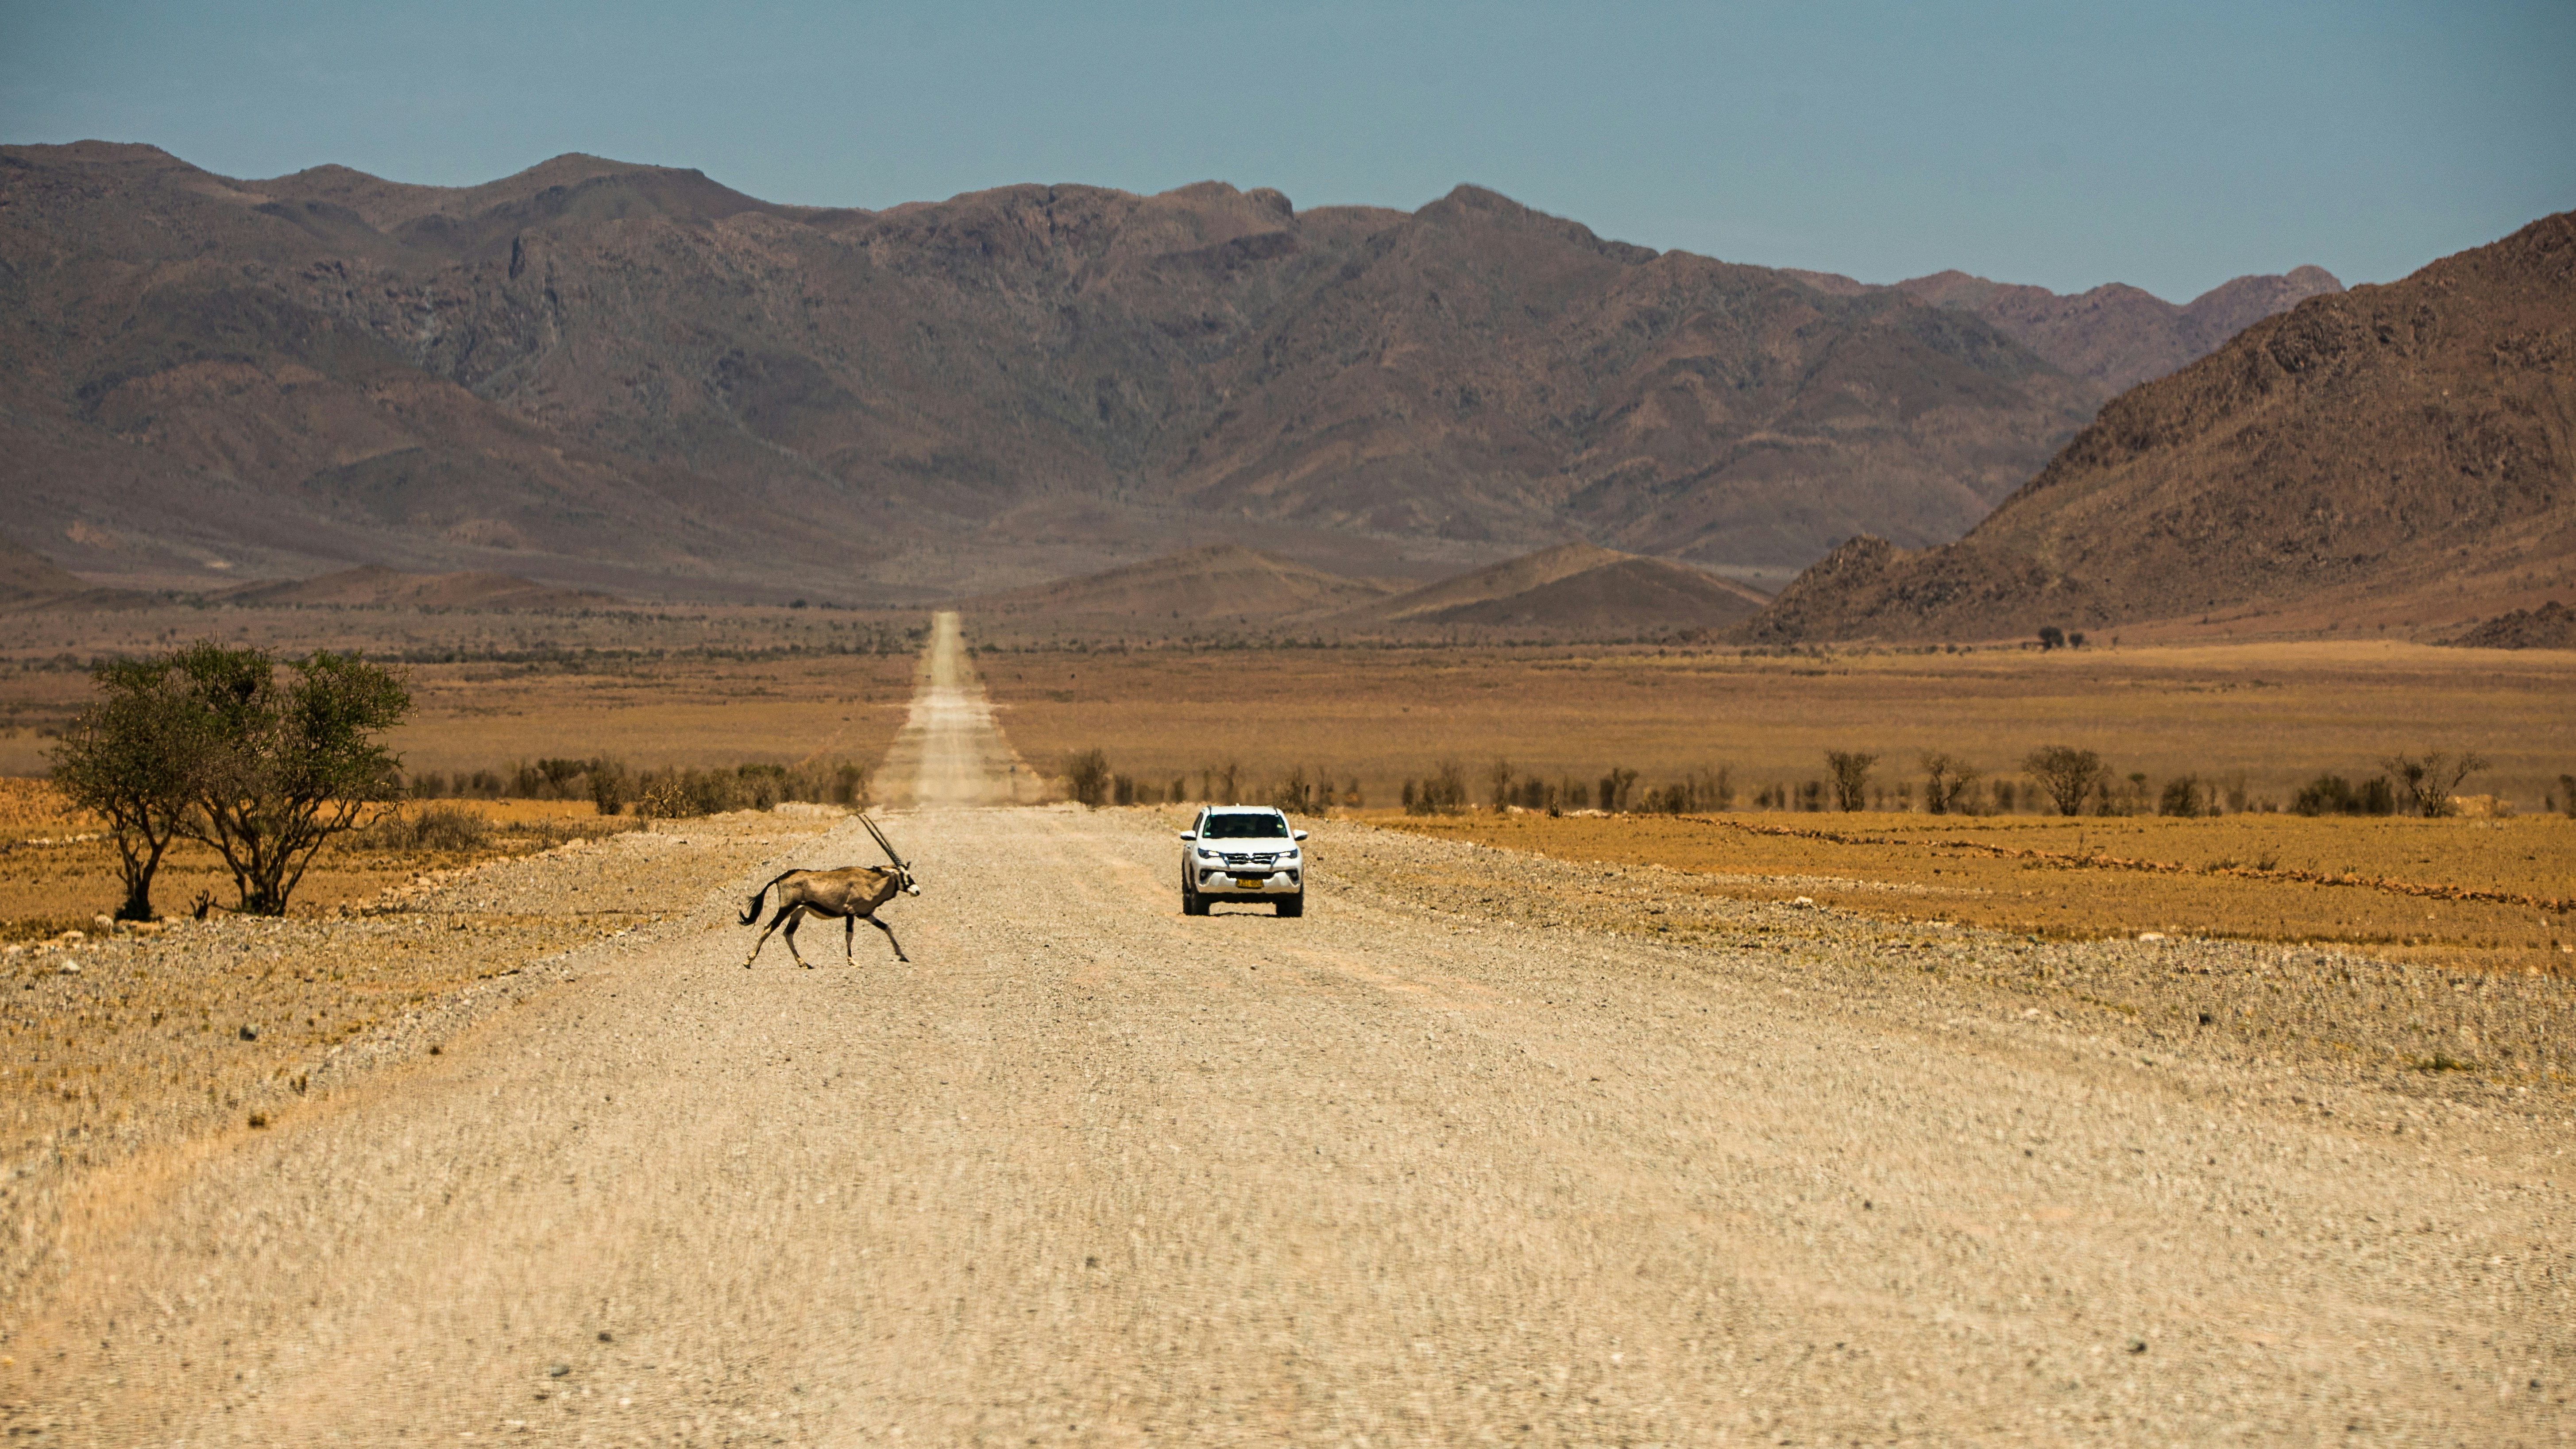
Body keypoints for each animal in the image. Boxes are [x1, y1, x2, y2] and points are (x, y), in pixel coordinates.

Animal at [739, 814, 921, 967]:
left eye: (908, 873)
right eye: (903, 875)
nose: (917, 891)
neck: (870, 881)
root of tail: (781, 877)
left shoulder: (865, 914)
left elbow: (886, 927)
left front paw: (901, 955)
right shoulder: (851, 912)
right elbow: (849, 935)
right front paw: (852, 961)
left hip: (799, 911)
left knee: (788, 933)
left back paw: (802, 963)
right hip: (787, 908)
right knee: (768, 928)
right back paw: (748, 961)